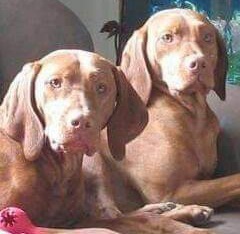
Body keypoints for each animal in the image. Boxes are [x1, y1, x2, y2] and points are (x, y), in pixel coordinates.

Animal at [0, 48, 214, 233]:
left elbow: (139, 220)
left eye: (102, 87)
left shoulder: (73, 221)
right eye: (55, 83)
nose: (81, 122)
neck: (57, 168)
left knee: (115, 213)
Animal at [83, 7, 240, 225]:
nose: (199, 63)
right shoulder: (172, 190)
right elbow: (235, 179)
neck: (191, 114)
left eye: (208, 37)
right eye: (167, 37)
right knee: (113, 218)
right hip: (94, 161)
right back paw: (186, 212)